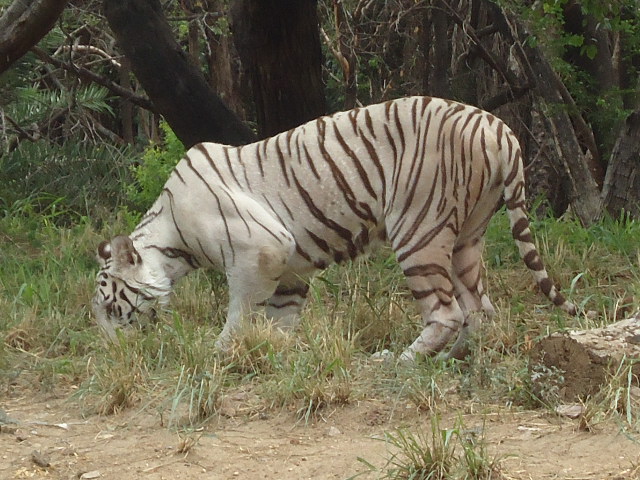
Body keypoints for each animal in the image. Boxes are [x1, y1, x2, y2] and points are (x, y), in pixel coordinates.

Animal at [91, 96, 576, 360]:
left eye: (112, 307)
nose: (112, 351)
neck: (170, 239)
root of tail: (498, 128)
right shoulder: (289, 270)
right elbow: (280, 318)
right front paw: (278, 354)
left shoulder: (260, 251)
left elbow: (239, 313)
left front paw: (221, 353)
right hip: (467, 239)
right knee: (480, 311)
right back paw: (450, 359)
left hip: (419, 231)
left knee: (446, 312)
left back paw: (398, 361)